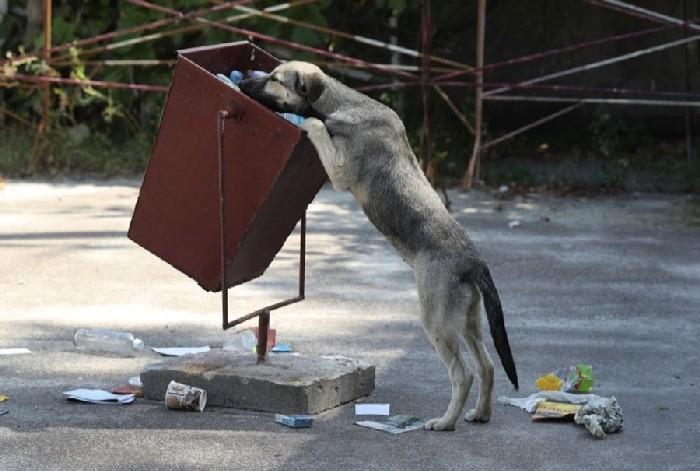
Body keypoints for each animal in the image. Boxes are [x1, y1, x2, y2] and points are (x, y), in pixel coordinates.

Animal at [241, 62, 516, 432]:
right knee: (486, 366)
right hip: (467, 320)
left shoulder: (340, 170)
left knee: (464, 375)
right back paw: (480, 414)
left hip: (437, 322)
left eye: (274, 79)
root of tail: (474, 262)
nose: (243, 79)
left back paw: (445, 422)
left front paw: (310, 122)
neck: (341, 103)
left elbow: (317, 126)